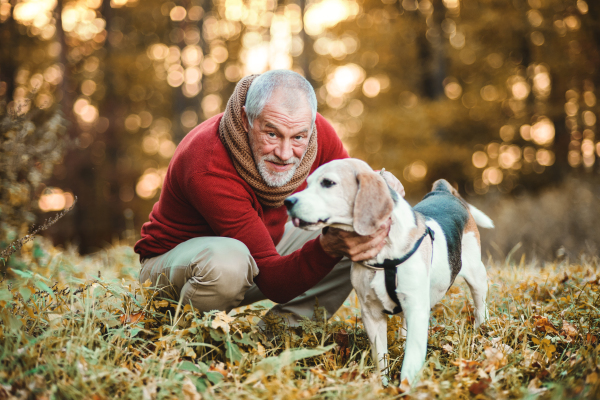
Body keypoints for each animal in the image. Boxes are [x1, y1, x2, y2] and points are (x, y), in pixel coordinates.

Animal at [284, 159, 492, 384]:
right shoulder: (371, 314)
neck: (384, 256)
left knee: (480, 307)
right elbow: (380, 357)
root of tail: (442, 191)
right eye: (308, 183)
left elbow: (411, 360)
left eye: (328, 183)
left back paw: (482, 332)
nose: (288, 202)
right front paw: (383, 385)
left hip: (476, 276)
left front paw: (405, 387)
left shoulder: (417, 310)